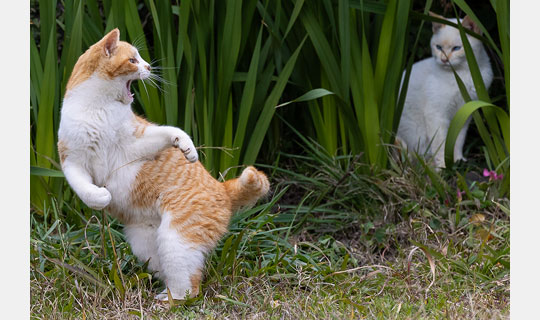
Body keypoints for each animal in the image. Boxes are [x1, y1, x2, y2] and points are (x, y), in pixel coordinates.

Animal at [57, 28, 270, 302]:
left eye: (140, 59)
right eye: (133, 60)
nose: (149, 66)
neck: (99, 109)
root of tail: (222, 188)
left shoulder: (134, 144)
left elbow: (171, 131)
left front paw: (186, 147)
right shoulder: (73, 161)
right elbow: (85, 189)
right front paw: (101, 197)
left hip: (176, 239)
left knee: (190, 287)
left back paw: (169, 301)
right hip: (148, 245)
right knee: (175, 275)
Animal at [396, 12, 494, 168]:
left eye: (456, 48)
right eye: (438, 47)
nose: (443, 60)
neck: (462, 75)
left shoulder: (464, 113)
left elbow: (458, 140)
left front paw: (458, 160)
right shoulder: (436, 115)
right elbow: (441, 144)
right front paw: (444, 165)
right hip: (416, 133)